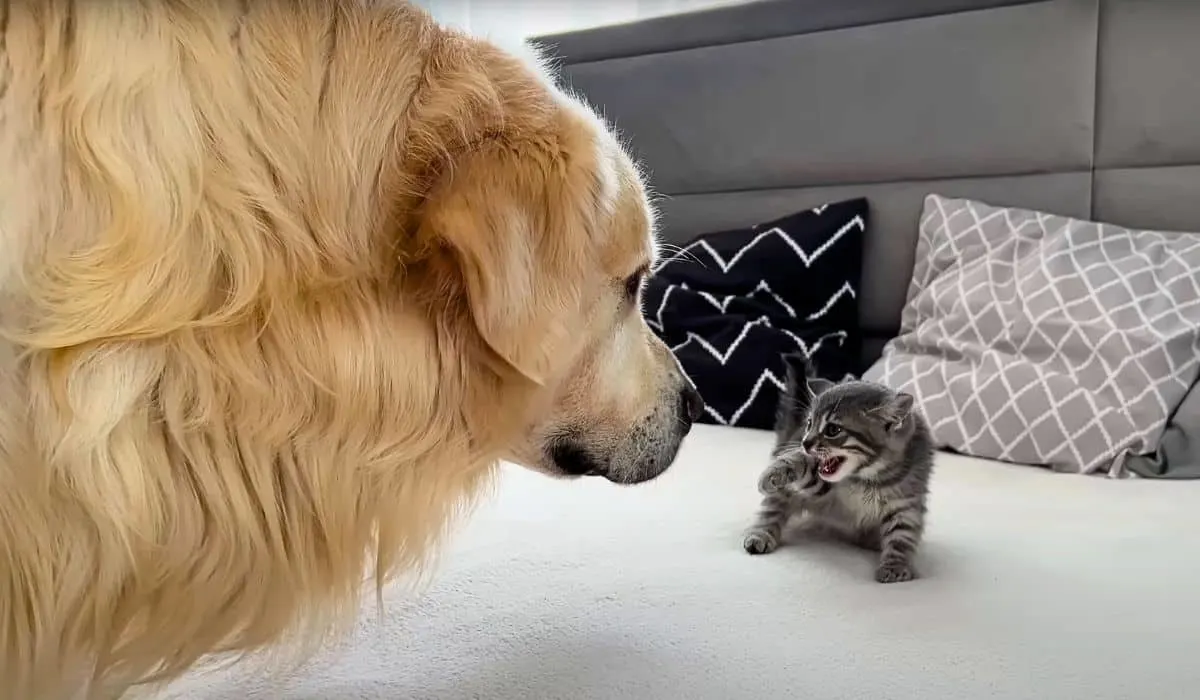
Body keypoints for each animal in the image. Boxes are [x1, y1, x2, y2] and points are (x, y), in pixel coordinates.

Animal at [744, 353, 931, 583]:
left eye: (833, 430)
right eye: (810, 424)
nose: (805, 442)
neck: (868, 479)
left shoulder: (906, 505)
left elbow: (902, 536)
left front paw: (895, 565)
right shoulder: (821, 488)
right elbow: (800, 465)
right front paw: (775, 472)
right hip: (783, 496)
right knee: (771, 510)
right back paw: (759, 535)